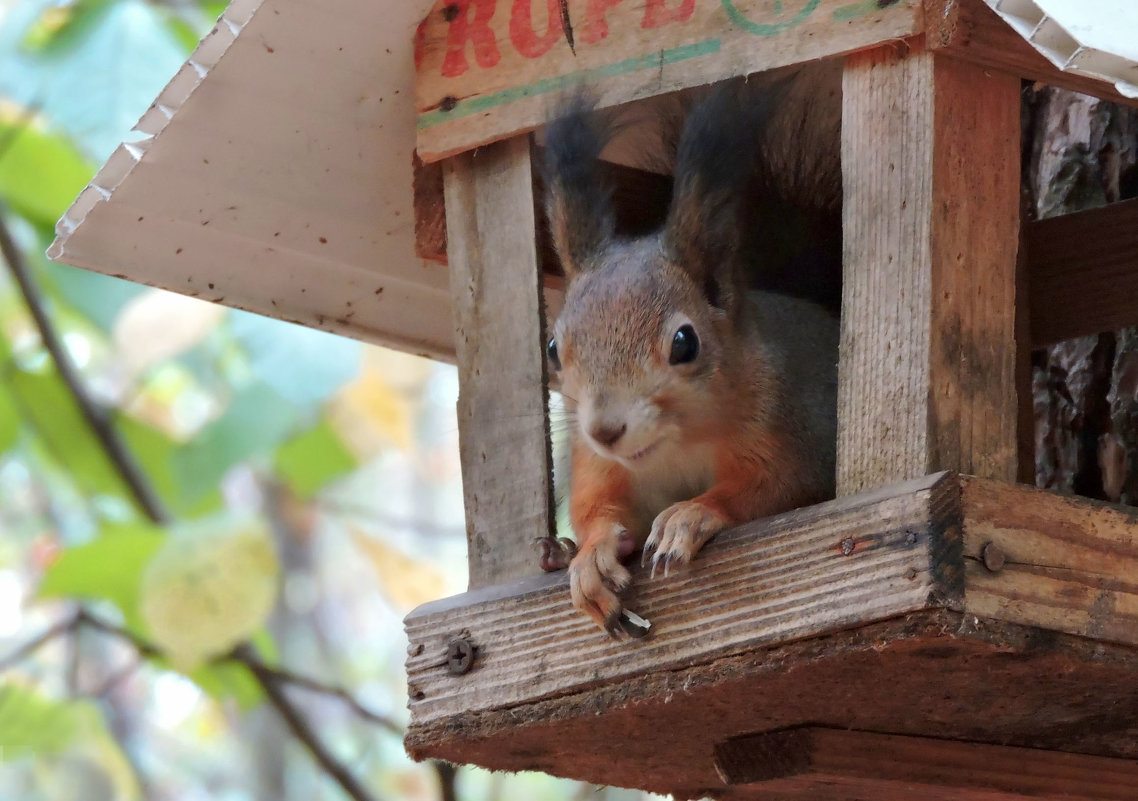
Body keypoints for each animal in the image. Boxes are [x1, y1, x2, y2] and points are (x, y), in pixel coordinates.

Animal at [537, 68, 842, 637]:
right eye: (552, 349)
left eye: (685, 342)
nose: (605, 430)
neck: (674, 446)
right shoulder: (596, 464)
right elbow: (596, 509)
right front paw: (591, 557)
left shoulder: (792, 432)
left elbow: (772, 488)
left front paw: (689, 515)